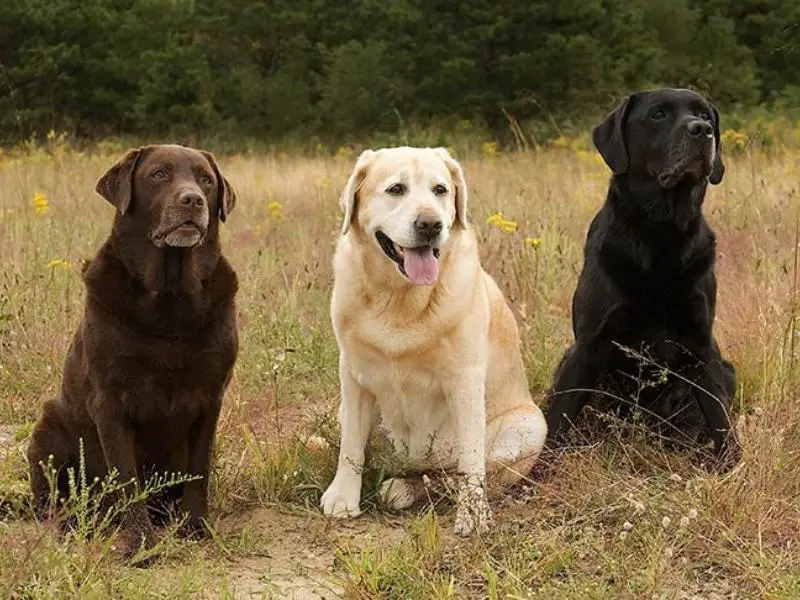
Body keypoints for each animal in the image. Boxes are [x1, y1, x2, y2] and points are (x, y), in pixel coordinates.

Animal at [548, 89, 740, 466]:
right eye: (658, 114)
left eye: (704, 115)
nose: (703, 131)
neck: (660, 233)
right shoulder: (588, 345)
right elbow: (557, 419)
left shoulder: (702, 344)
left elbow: (718, 416)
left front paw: (732, 466)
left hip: (725, 369)